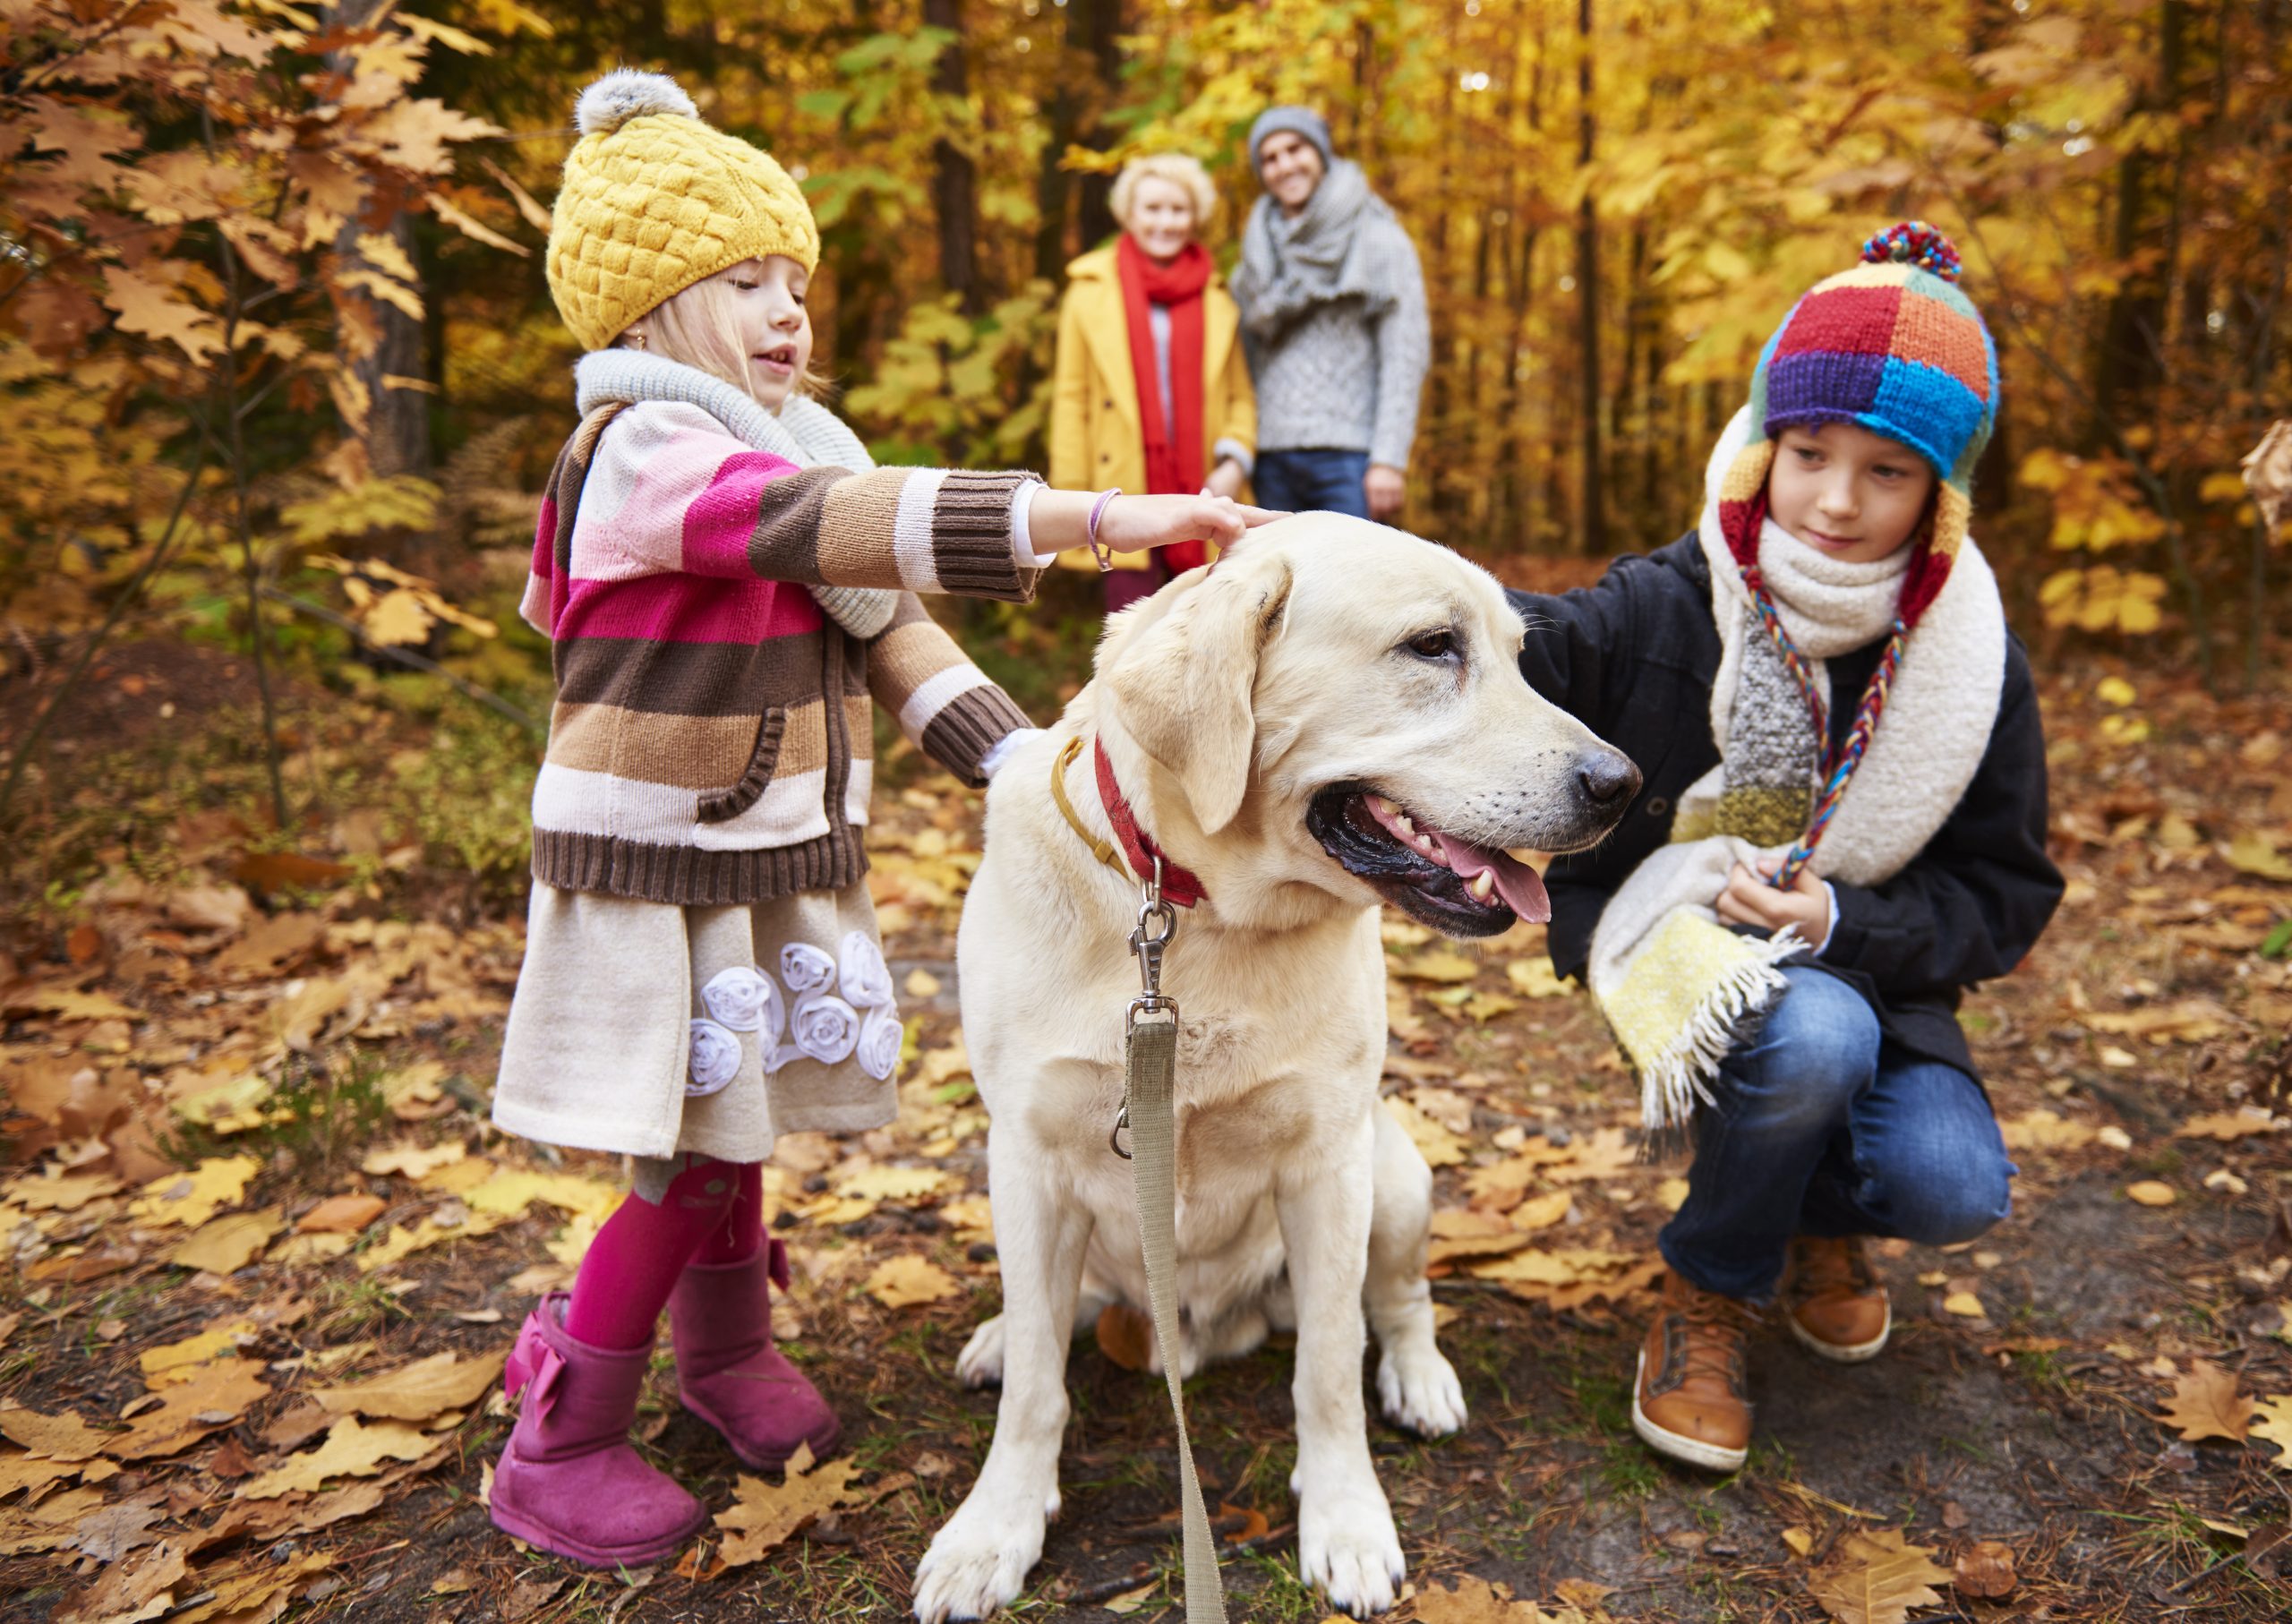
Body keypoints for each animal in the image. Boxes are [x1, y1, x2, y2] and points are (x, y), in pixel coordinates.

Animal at [902, 513, 1640, 1612]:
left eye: (1518, 654)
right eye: (1432, 647)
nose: (1621, 786)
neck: (1198, 914)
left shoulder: (1327, 1165)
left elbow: (1329, 1368)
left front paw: (1346, 1520)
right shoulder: (1026, 1157)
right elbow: (1039, 1378)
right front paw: (993, 1529)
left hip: (1395, 1172)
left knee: (1399, 1300)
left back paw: (1420, 1377)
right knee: (1053, 1312)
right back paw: (1001, 1334)